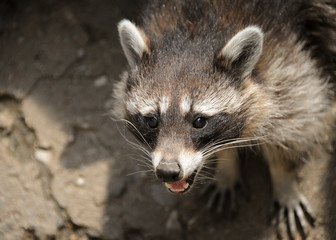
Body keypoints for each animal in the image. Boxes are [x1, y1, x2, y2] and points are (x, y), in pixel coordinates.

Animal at [113, 0, 336, 238]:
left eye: (199, 121)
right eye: (152, 121)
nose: (168, 171)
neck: (196, 29)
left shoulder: (285, 53)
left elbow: (294, 115)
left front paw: (284, 179)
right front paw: (226, 164)